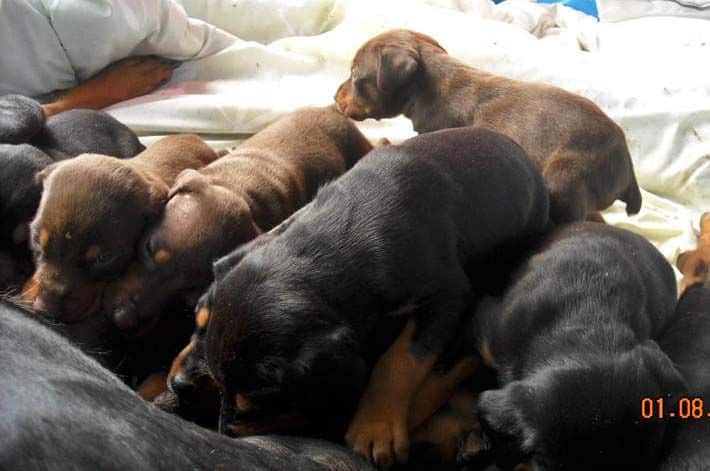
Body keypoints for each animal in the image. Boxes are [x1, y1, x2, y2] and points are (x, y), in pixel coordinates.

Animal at [200, 126, 552, 468]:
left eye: (255, 403)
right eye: (217, 385)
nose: (223, 432)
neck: (335, 242)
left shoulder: (448, 296)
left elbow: (400, 359)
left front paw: (375, 429)